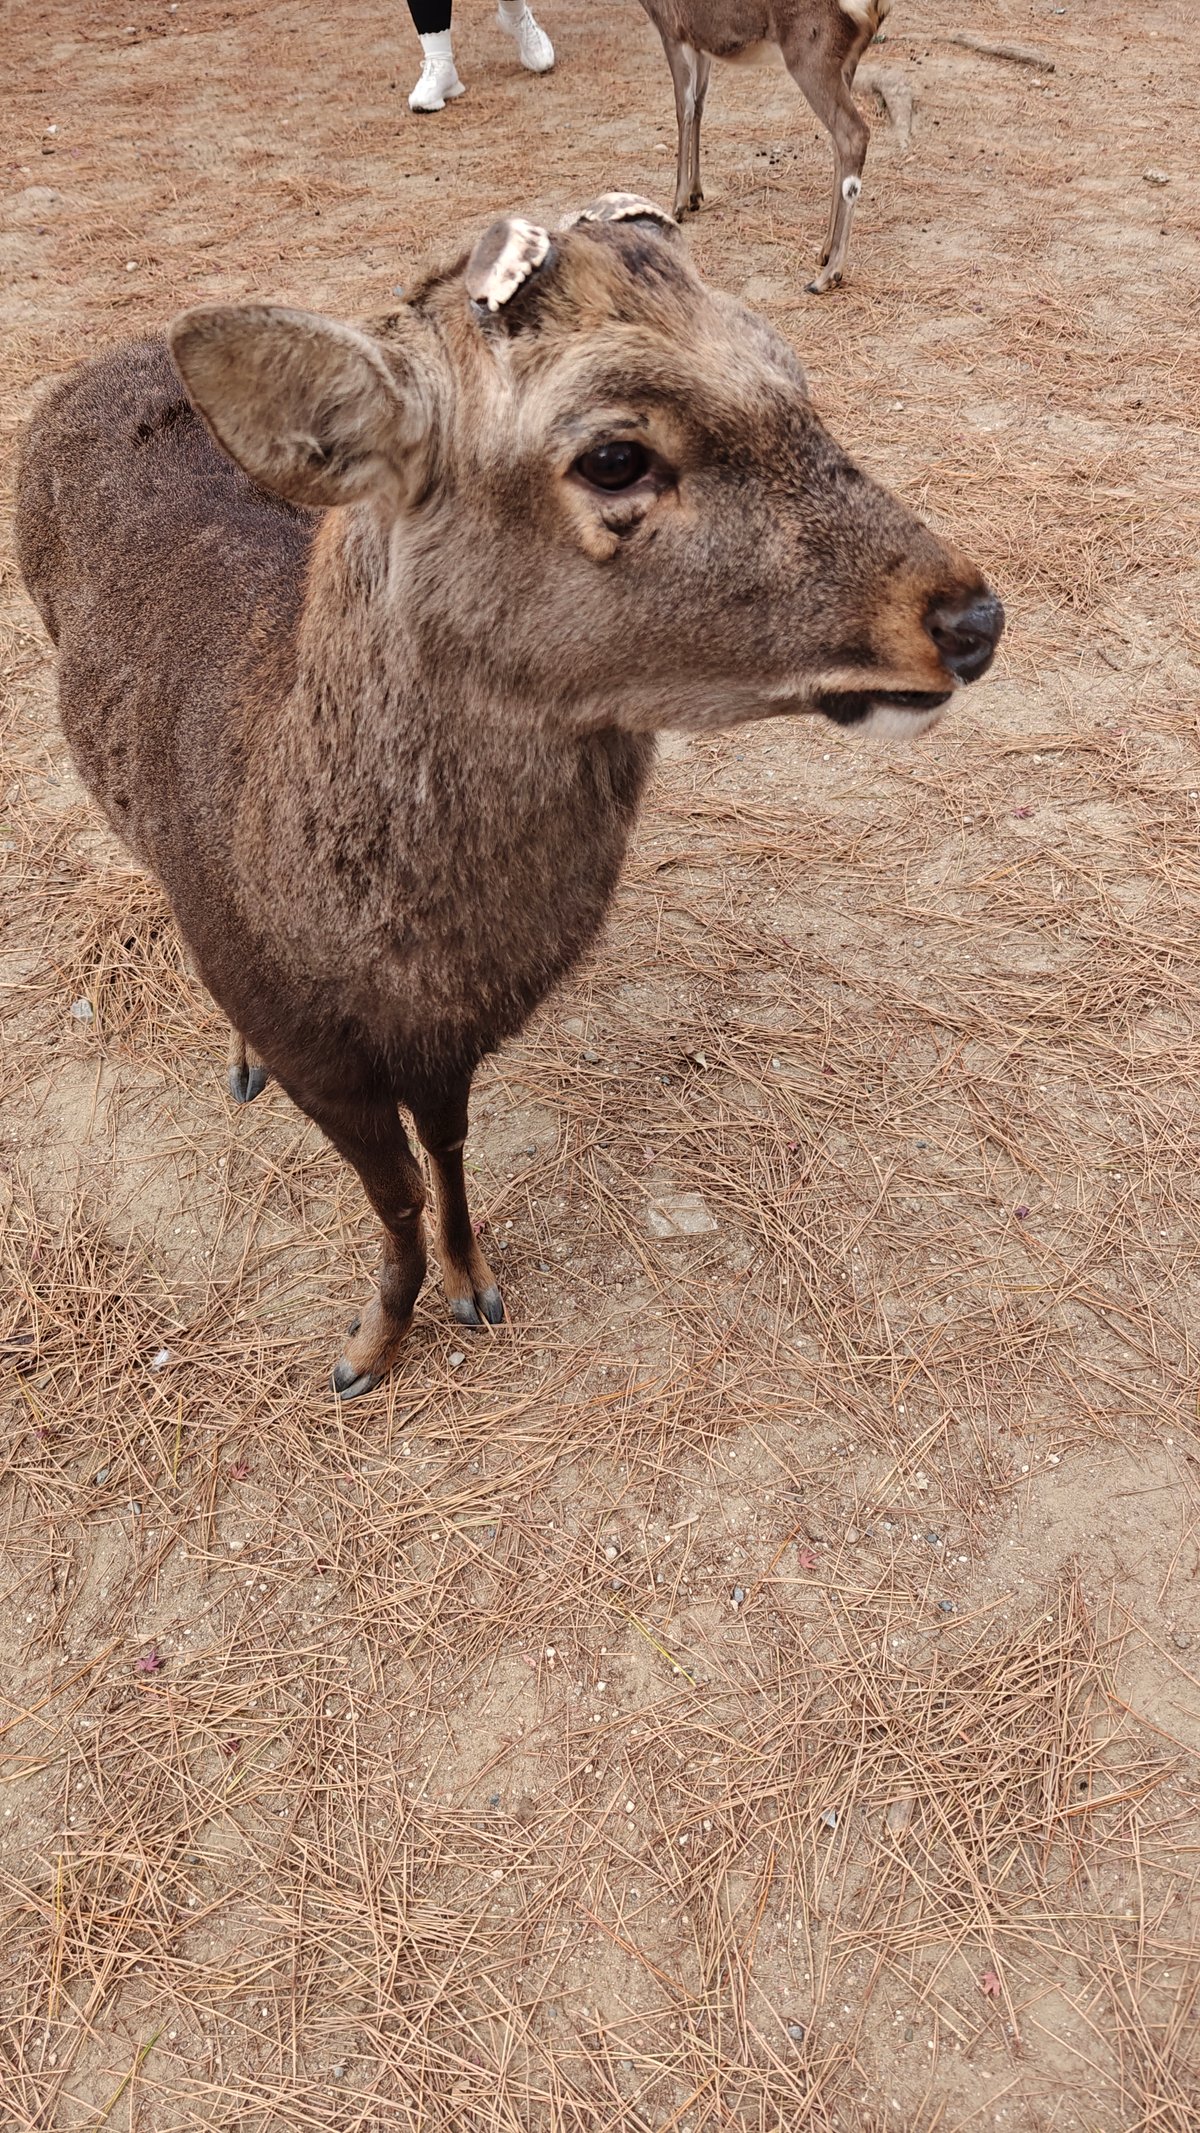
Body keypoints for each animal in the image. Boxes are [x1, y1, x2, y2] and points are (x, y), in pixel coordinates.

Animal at [16, 193, 1003, 1398]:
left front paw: (474, 1285)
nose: (971, 617)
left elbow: (446, 1151)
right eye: (616, 455)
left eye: (791, 370)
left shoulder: (458, 1040)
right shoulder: (312, 1045)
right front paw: (367, 1348)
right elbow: (389, 1190)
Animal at [636, 0, 892, 291]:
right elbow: (700, 104)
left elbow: (684, 109)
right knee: (837, 141)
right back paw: (825, 252)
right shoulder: (699, 40)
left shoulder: (671, 29)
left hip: (811, 56)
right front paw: (694, 195)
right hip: (846, 60)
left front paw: (677, 204)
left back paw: (829, 275)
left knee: (853, 133)